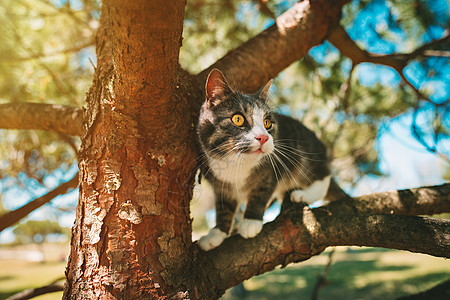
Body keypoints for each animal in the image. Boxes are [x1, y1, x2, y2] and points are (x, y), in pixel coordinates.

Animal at [195, 68, 346, 251]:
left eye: (267, 123)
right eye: (238, 119)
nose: (263, 137)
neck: (237, 162)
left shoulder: (272, 169)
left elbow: (261, 193)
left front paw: (250, 221)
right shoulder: (219, 183)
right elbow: (224, 206)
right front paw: (217, 233)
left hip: (305, 152)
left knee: (322, 177)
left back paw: (301, 194)